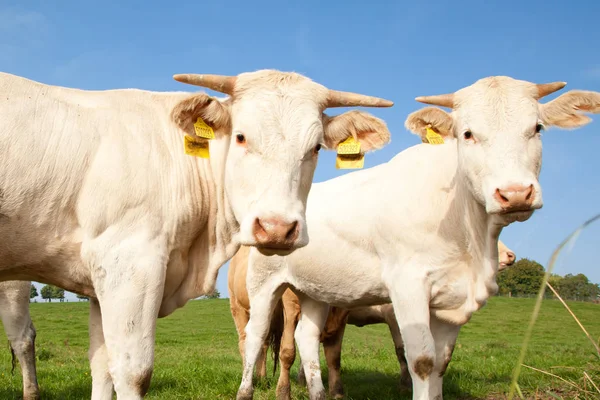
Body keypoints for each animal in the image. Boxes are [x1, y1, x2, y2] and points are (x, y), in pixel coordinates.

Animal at [0, 71, 394, 400]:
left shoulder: (100, 282)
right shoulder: (129, 263)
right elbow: (132, 372)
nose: (277, 228)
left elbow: (102, 369)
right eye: (241, 136)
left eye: (315, 148)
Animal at [229, 239, 516, 398]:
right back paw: (256, 380)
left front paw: (336, 391)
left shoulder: (340, 316)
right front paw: (283, 392)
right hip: (242, 308)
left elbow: (334, 356)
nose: (511, 256)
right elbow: (288, 352)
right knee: (250, 343)